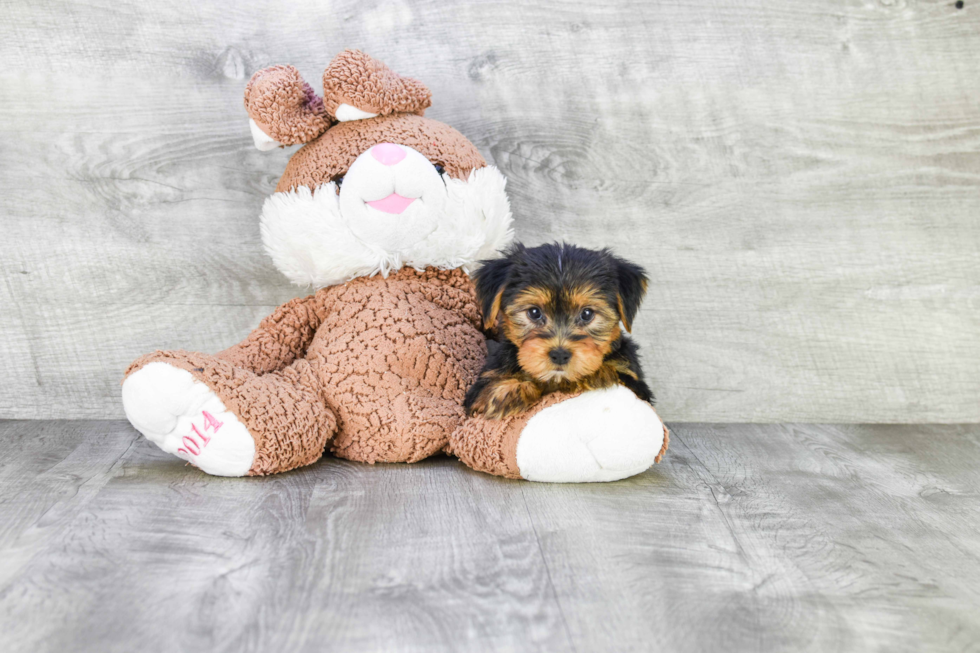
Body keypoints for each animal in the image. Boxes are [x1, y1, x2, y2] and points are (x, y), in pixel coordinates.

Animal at [464, 242, 656, 420]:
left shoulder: (635, 381)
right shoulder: (489, 375)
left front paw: (599, 374)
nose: (560, 354)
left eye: (587, 314)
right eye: (534, 312)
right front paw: (506, 390)